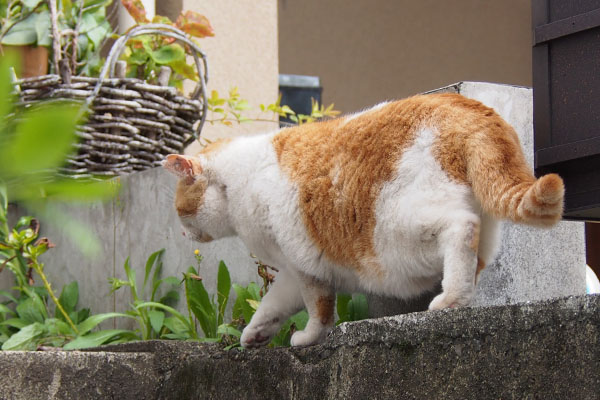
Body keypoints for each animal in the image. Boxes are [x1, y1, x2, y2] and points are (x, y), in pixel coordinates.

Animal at [162, 93, 564, 346]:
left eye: (180, 210)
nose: (181, 233)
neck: (238, 184)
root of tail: (465, 106)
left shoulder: (306, 265)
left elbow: (318, 310)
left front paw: (307, 338)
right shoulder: (291, 271)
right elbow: (272, 304)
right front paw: (255, 334)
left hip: (402, 229)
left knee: (461, 227)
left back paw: (449, 299)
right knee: (477, 255)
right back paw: (462, 298)